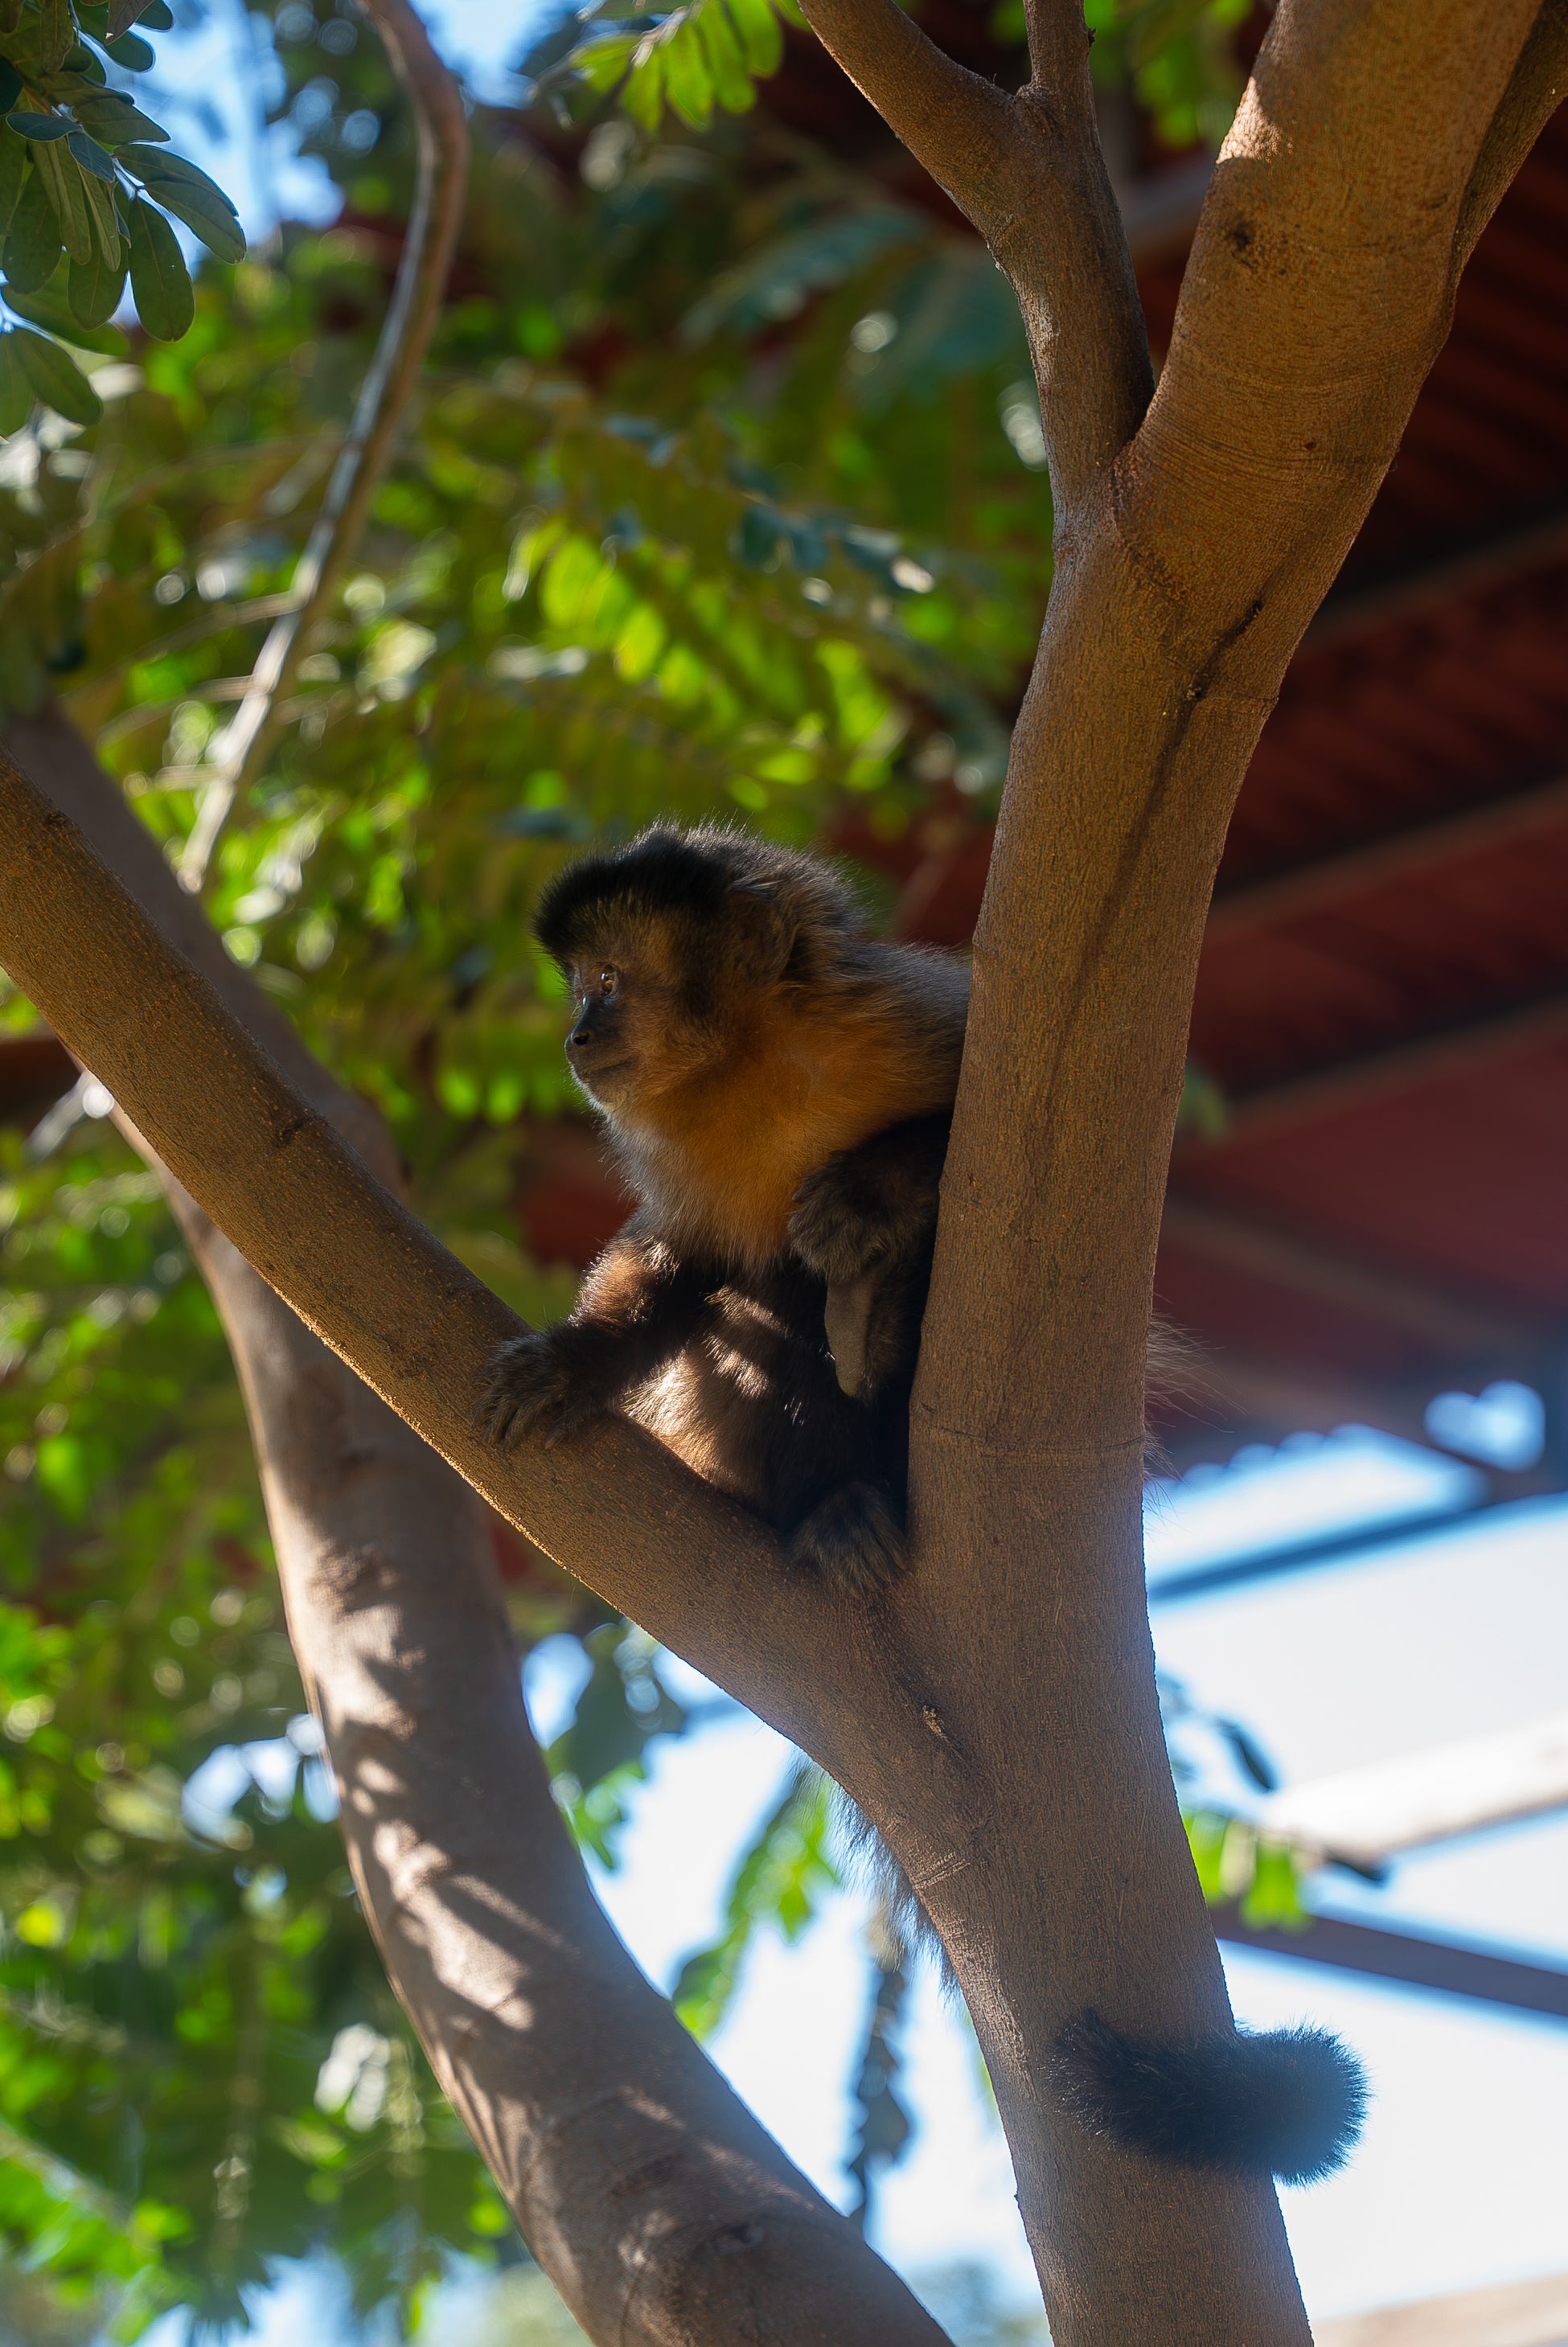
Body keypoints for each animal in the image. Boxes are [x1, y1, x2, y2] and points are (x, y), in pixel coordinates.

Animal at [482, 820, 1368, 2185]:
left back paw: (879, 1310)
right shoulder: (674, 1152)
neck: (752, 1066)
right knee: (756, 1309)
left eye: (609, 979)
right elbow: (679, 1266)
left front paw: (868, 1195)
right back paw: (832, 1502)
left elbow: (967, 1135)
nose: (580, 1030)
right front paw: (578, 1361)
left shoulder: (893, 1015)